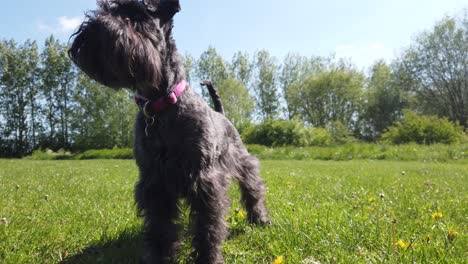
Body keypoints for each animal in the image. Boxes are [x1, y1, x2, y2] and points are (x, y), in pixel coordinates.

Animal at [67, 1, 268, 262]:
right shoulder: (155, 184)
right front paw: (160, 256)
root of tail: (222, 114)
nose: (95, 30)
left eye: (136, 14)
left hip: (242, 161)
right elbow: (160, 228)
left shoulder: (205, 181)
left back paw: (260, 218)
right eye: (102, 10)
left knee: (253, 187)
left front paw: (208, 257)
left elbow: (208, 227)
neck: (160, 106)